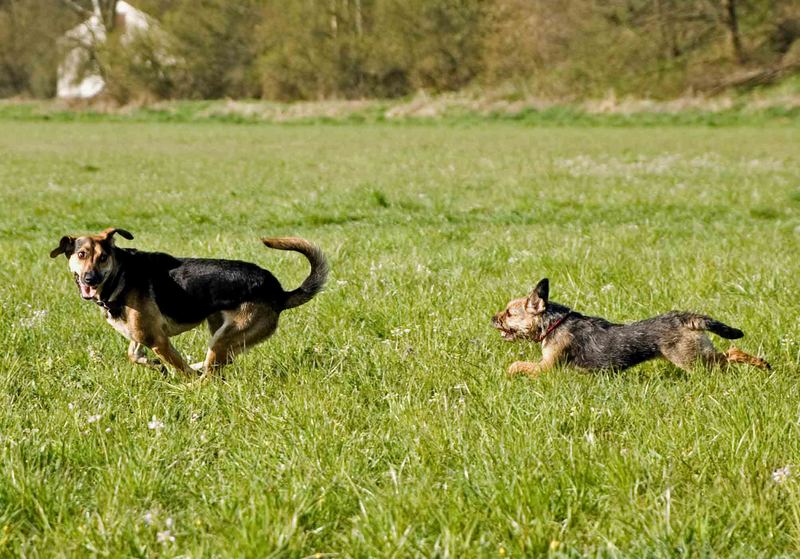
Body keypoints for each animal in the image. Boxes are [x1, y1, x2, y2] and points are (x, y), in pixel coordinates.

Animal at [50, 228, 328, 380]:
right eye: (81, 254)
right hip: (218, 327)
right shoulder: (141, 336)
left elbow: (177, 366)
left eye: (103, 257)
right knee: (220, 364)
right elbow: (133, 354)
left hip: (222, 338)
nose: (90, 278)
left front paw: (178, 376)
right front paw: (155, 366)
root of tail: (278, 292)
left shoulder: (158, 340)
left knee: (209, 376)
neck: (121, 275)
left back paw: (195, 384)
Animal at [490, 278, 772, 378]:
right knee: (731, 353)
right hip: (700, 352)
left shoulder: (546, 366)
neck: (553, 323)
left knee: (730, 354)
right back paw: (762, 364)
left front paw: (509, 373)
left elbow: (518, 365)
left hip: (692, 359)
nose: (493, 317)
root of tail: (683, 317)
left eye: (509, 313)